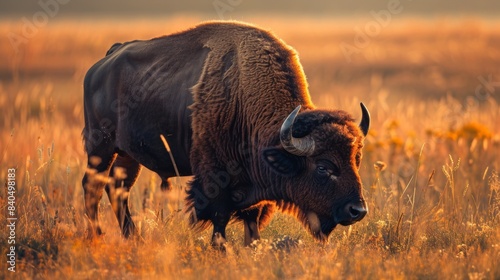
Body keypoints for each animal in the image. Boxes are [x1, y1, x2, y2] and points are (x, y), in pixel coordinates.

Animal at [82, 20, 370, 246]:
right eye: (323, 167)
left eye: (356, 161)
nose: (357, 210)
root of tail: (104, 62)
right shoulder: (214, 180)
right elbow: (219, 218)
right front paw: (220, 248)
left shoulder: (254, 188)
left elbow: (252, 219)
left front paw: (252, 247)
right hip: (100, 147)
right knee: (92, 186)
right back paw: (97, 236)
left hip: (127, 154)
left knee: (118, 189)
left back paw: (133, 237)